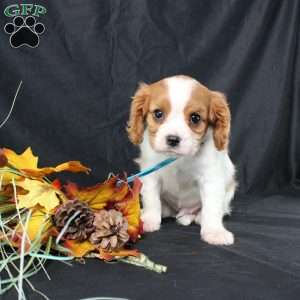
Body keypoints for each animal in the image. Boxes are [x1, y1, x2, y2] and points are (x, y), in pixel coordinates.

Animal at [126, 74, 237, 244]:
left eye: (195, 118)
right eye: (158, 113)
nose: (173, 139)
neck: (177, 159)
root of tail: (182, 212)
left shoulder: (211, 179)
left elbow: (212, 207)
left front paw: (214, 231)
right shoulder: (150, 174)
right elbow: (152, 199)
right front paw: (150, 220)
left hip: (229, 192)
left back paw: (199, 217)